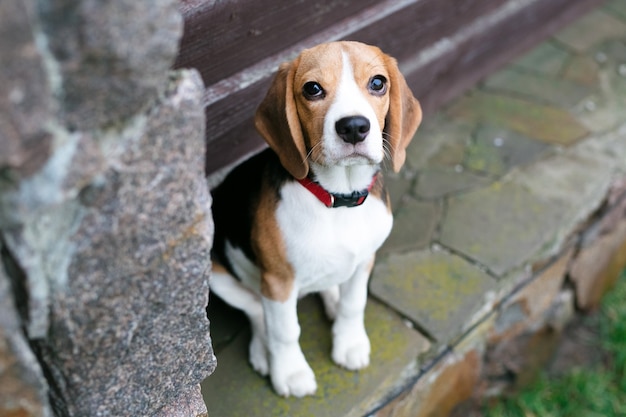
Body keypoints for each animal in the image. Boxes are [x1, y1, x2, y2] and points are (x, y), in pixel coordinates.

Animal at [210, 39, 420, 396]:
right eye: (312, 89)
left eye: (378, 83)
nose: (354, 127)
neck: (337, 199)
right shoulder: (277, 280)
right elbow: (285, 331)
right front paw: (291, 373)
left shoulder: (365, 260)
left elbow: (354, 304)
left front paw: (349, 344)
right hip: (217, 274)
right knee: (256, 311)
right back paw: (263, 352)